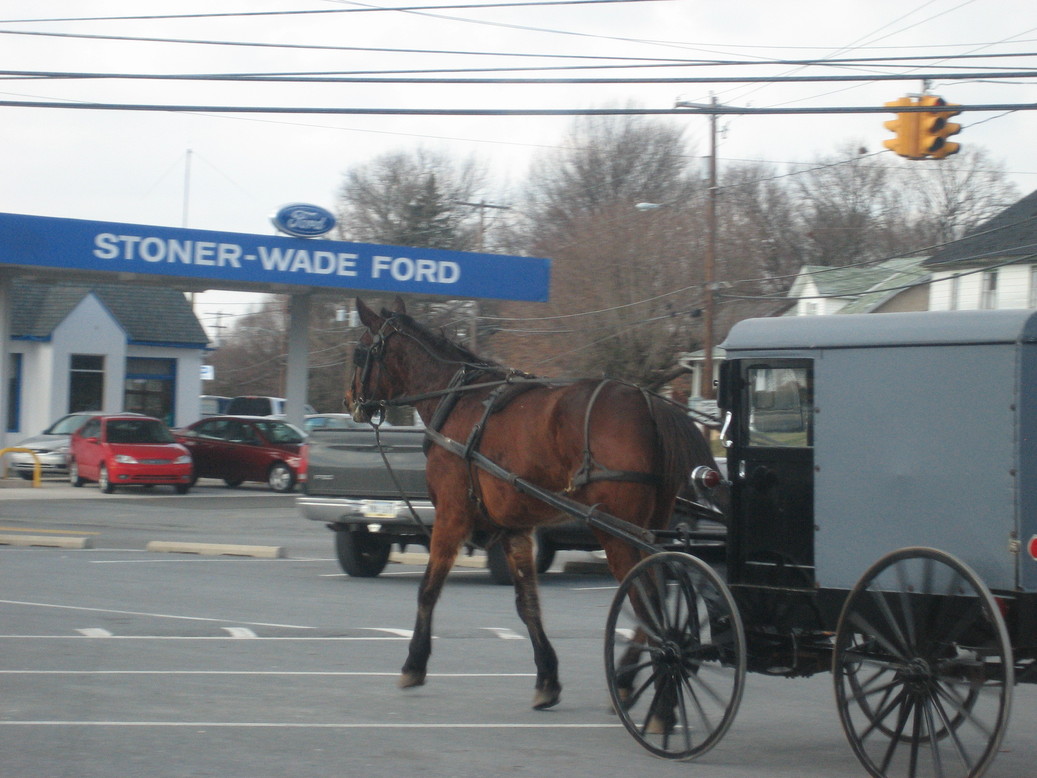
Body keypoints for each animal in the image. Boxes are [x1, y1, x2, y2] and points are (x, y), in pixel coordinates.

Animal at [344, 298, 717, 713]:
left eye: (360, 351)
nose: (350, 401)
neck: (457, 399)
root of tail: (649, 404)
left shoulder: (452, 517)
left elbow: (428, 589)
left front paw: (414, 663)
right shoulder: (514, 528)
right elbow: (528, 604)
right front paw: (547, 678)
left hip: (615, 529)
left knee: (645, 598)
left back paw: (641, 681)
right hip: (646, 525)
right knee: (654, 593)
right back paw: (638, 677)